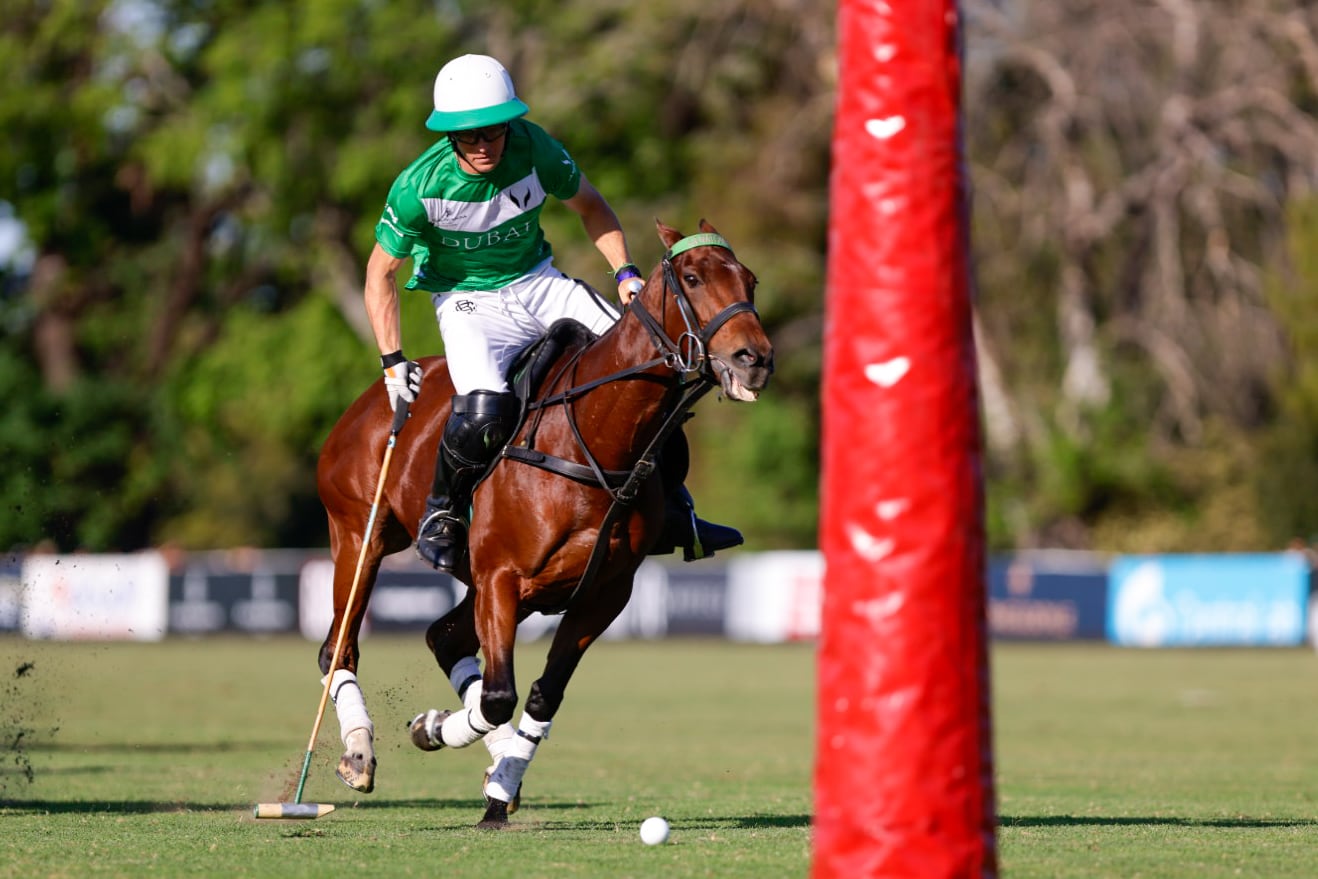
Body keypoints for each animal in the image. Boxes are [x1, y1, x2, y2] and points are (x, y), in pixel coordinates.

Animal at [315, 220, 774, 827]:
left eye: (750, 279)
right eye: (694, 278)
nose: (755, 359)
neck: (595, 439)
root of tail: (367, 404)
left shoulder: (600, 593)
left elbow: (538, 695)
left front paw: (490, 777)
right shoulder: (501, 579)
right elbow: (498, 696)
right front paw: (456, 750)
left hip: (510, 586)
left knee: (442, 637)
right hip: (359, 536)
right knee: (339, 649)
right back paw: (359, 754)